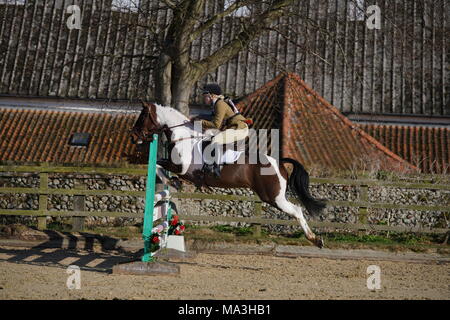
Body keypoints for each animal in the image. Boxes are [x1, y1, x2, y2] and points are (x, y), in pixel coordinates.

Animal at [130, 101, 326, 249]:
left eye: (142, 117)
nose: (133, 137)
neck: (184, 138)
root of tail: (278, 162)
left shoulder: (183, 168)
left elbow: (157, 164)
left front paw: (173, 182)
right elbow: (159, 164)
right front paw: (173, 181)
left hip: (273, 197)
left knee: (297, 210)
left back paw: (315, 239)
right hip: (273, 196)